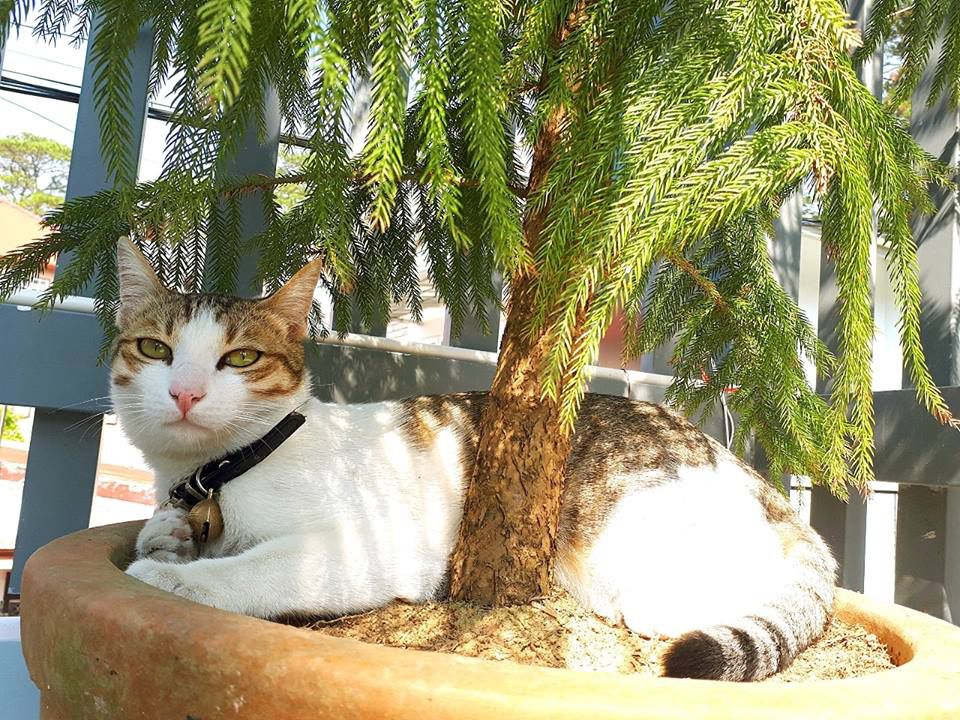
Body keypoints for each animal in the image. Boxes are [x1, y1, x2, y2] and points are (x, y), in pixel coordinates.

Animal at [115, 237, 836, 682]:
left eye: (241, 358)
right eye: (154, 349)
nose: (185, 392)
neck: (226, 469)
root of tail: (760, 484)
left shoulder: (363, 549)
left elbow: (255, 568)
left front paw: (175, 578)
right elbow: (165, 532)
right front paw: (165, 537)